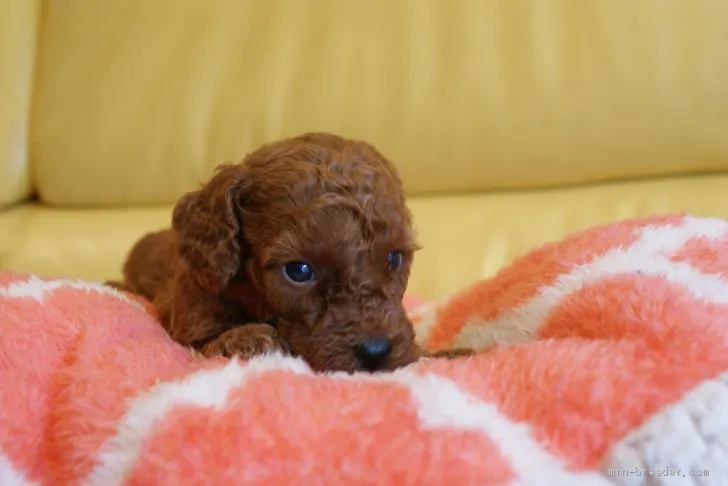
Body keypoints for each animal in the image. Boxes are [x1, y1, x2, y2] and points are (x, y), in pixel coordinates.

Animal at [114, 133, 472, 372]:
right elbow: (218, 339)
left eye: (394, 258)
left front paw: (446, 355)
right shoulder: (191, 318)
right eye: (299, 271)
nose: (376, 351)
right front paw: (252, 337)